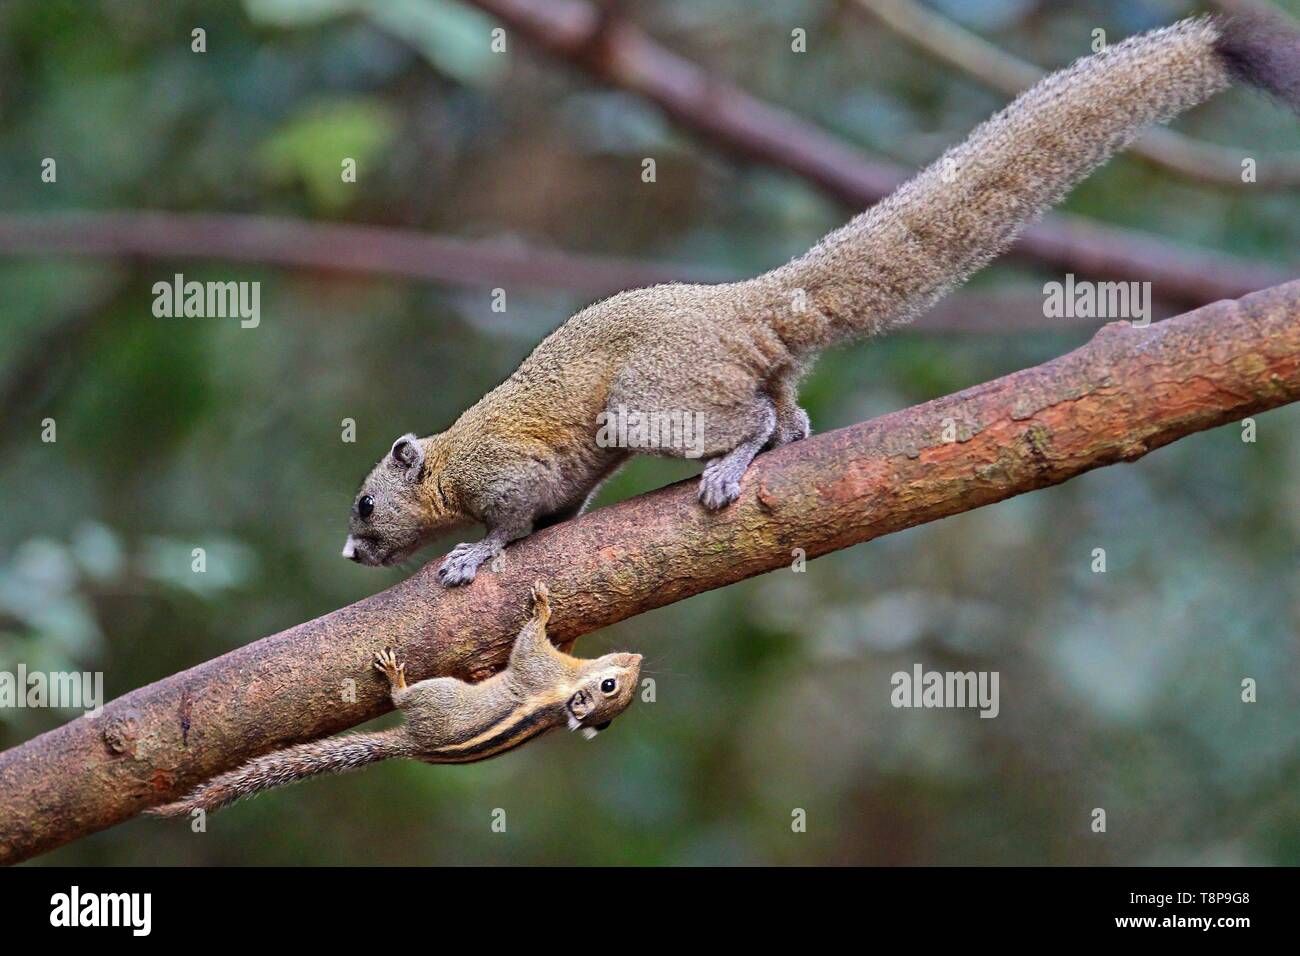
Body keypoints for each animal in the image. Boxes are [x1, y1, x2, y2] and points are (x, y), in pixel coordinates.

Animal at [152, 582, 639, 816]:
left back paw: (396, 678)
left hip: (439, 695)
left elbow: (526, 643)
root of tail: (414, 744)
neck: (569, 684)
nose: (637, 657)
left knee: (406, 697)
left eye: (609, 688)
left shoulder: (536, 668)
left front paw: (541, 608)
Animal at [338, 14, 1300, 582]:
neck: (446, 467)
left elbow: (515, 517)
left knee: (749, 418)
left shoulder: (500, 472)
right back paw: (780, 436)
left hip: (654, 396)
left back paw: (732, 462)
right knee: (786, 413)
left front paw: (476, 554)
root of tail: (736, 306)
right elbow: (555, 511)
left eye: (365, 506)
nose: (350, 549)